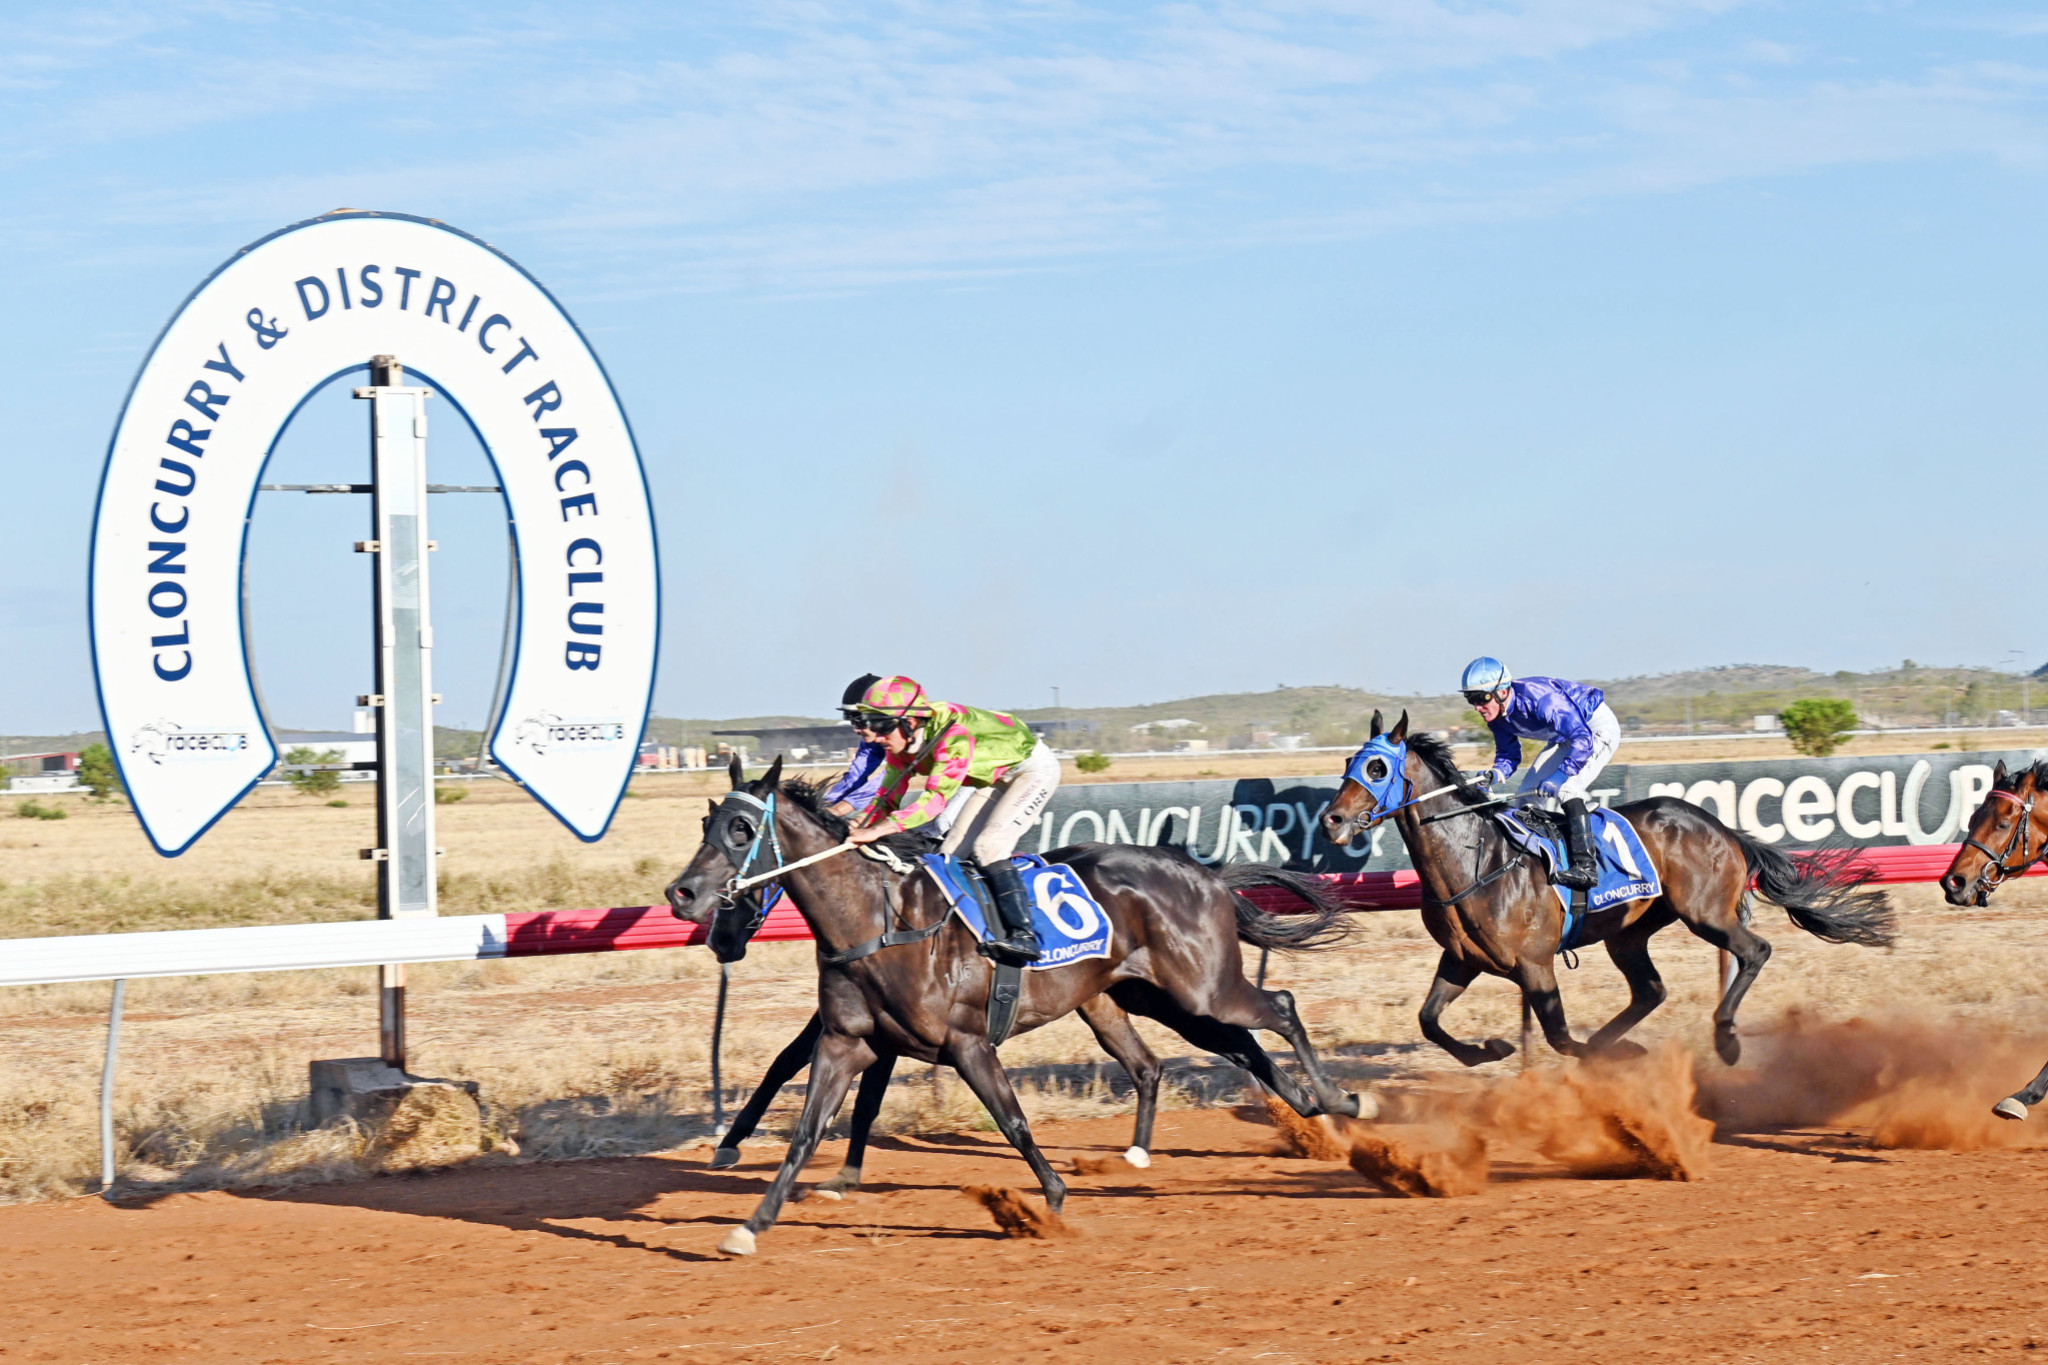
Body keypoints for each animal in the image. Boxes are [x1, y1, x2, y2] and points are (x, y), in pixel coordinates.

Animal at [663, 757, 1359, 1260]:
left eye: (742, 831)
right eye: (705, 825)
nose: (683, 894)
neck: (879, 921)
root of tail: (1204, 873)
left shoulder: (965, 1042)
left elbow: (1012, 1119)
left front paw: (1048, 1198)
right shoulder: (849, 1042)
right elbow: (808, 1129)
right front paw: (753, 1222)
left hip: (1204, 986)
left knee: (1281, 1006)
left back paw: (1341, 1101)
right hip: (1152, 997)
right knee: (1200, 1052)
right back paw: (1301, 1112)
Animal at [1318, 716, 1892, 1064]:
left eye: (1377, 766)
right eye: (1347, 762)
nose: (1332, 820)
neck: (1476, 859)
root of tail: (1725, 829)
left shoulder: (1534, 964)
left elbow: (1557, 1036)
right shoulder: (1462, 959)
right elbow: (1429, 1021)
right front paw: (1491, 1049)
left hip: (1705, 913)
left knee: (1755, 951)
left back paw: (1725, 1037)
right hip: (1629, 931)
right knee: (1651, 990)